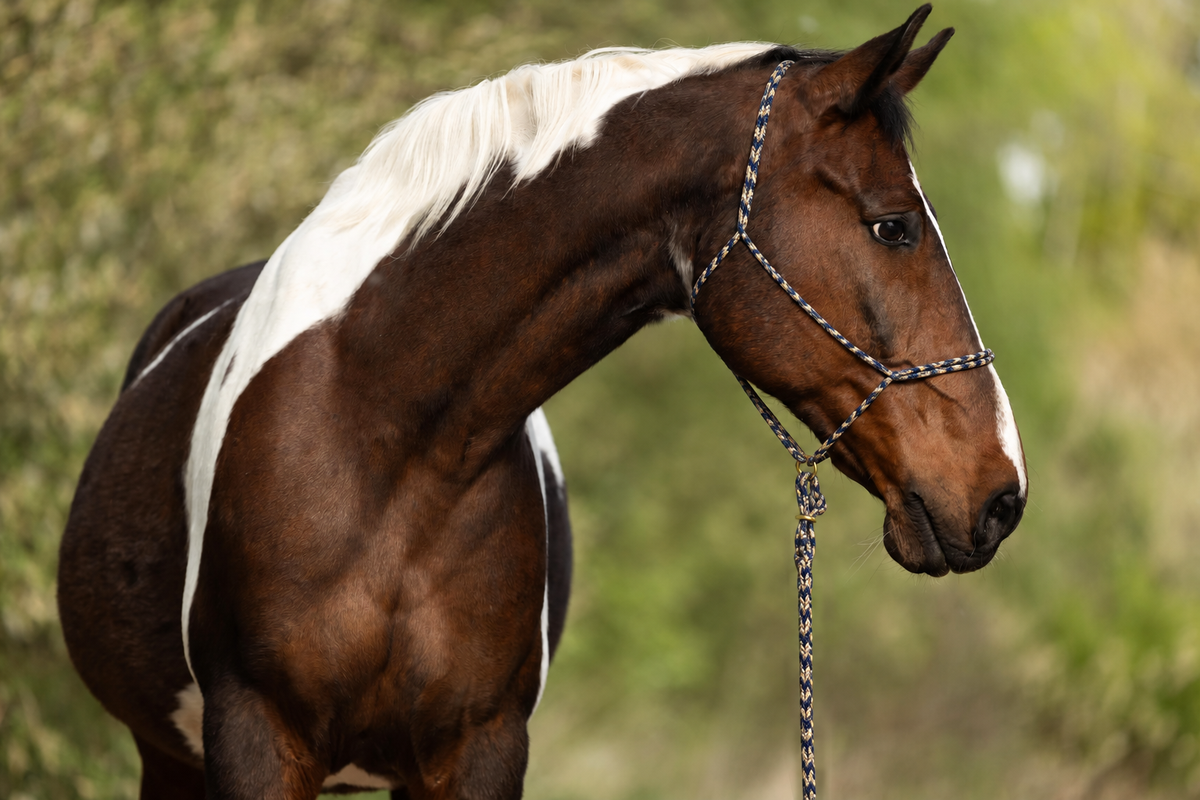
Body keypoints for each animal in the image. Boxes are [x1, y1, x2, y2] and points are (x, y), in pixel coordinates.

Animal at [57, 5, 1026, 798]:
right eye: (893, 225)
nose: (1002, 494)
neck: (385, 442)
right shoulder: (254, 740)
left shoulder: (479, 751)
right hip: (169, 759)